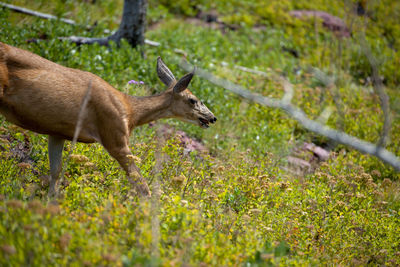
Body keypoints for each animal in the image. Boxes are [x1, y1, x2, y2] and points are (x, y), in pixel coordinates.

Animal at [0, 41, 217, 197]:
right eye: (193, 100)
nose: (212, 117)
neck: (130, 112)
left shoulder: (57, 132)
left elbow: (56, 173)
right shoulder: (115, 137)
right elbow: (142, 185)